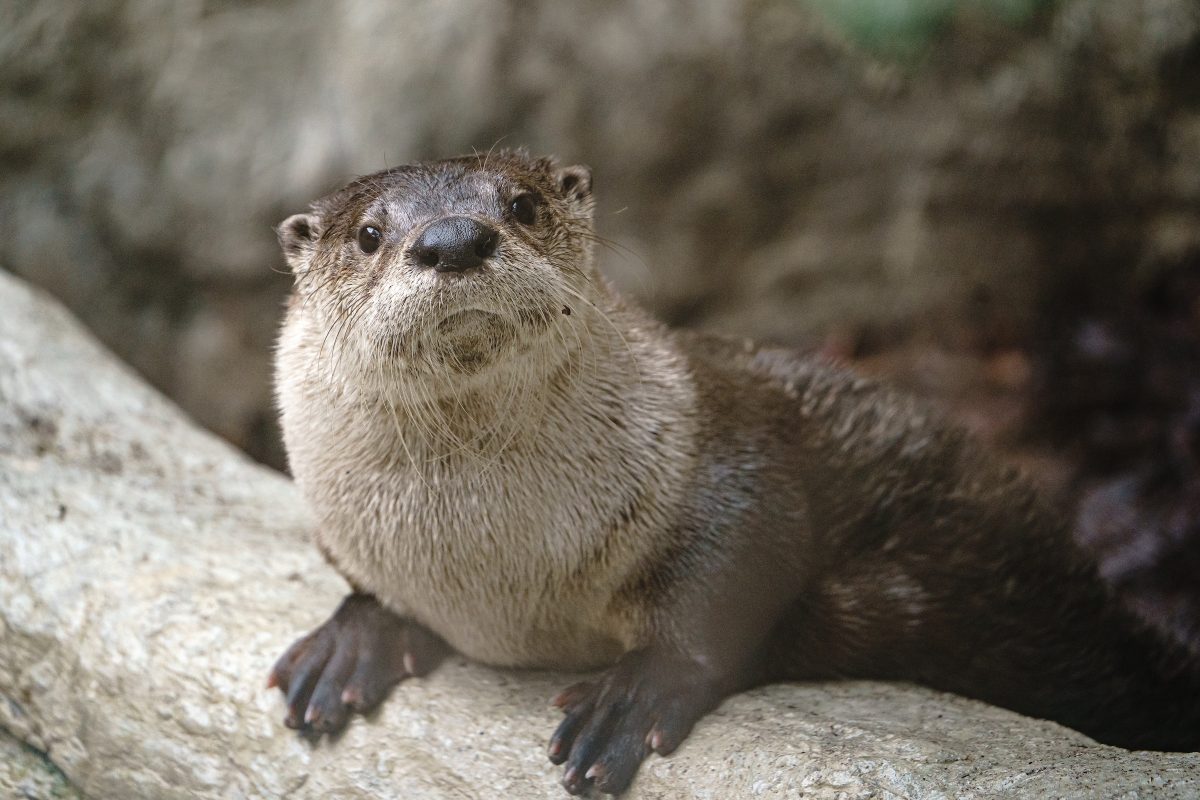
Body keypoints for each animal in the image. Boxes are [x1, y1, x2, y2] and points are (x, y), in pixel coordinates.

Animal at [270, 149, 1200, 796]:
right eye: (369, 234)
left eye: (523, 205)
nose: (455, 239)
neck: (493, 573)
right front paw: (355, 637)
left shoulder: (721, 452)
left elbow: (740, 565)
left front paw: (637, 693)